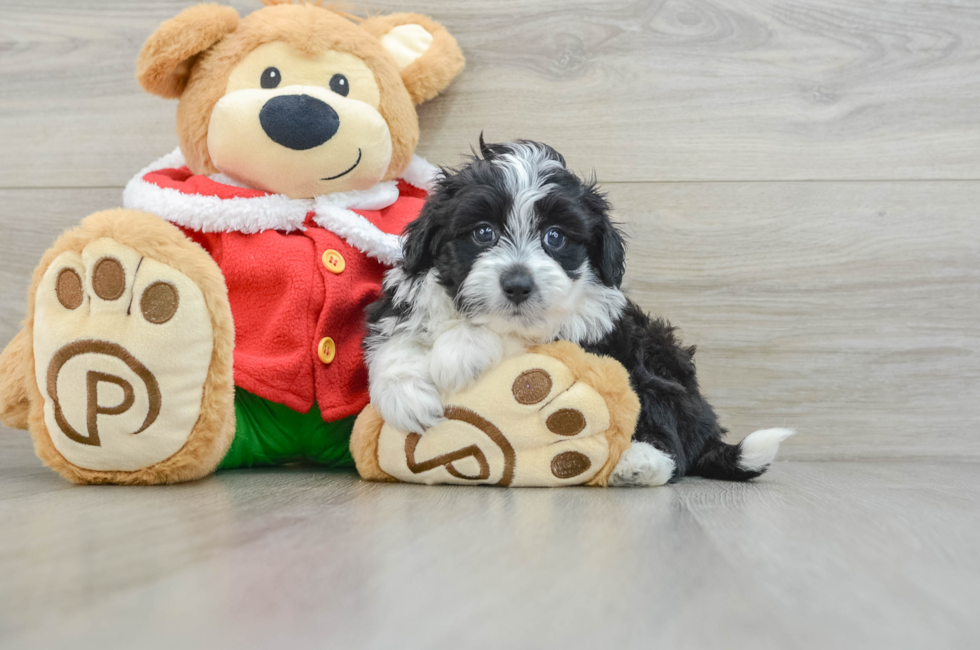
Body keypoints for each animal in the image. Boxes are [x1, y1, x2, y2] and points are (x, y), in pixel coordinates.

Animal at [364, 139, 792, 484]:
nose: (518, 284)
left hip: (657, 362)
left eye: (554, 237)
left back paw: (639, 463)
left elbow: (519, 336)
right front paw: (407, 397)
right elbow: (396, 338)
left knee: (670, 432)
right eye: (483, 232)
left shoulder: (586, 329)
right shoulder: (405, 301)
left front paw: (458, 351)